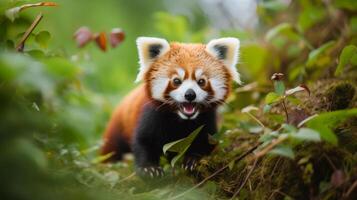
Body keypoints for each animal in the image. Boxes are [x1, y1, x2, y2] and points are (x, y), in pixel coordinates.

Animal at [101, 36, 239, 177]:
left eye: (201, 81)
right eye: (176, 81)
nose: (190, 94)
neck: (181, 120)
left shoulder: (207, 121)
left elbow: (207, 142)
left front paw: (193, 160)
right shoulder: (150, 116)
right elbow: (142, 141)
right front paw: (149, 168)